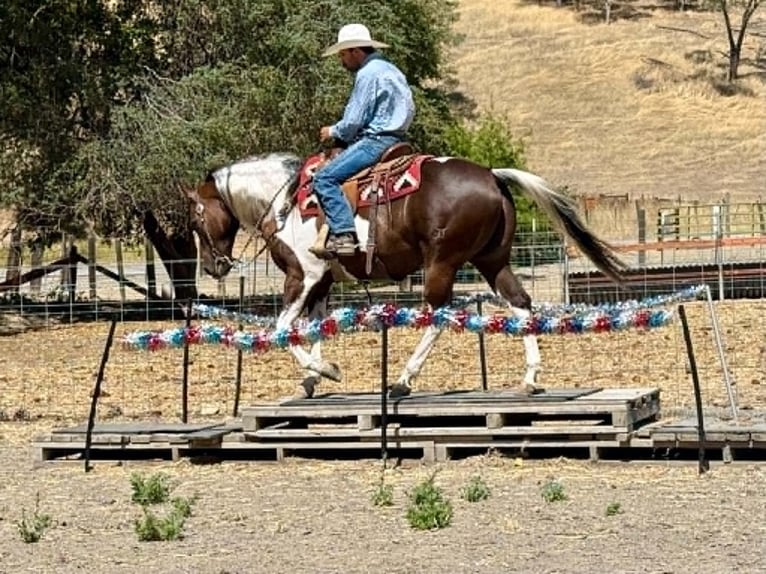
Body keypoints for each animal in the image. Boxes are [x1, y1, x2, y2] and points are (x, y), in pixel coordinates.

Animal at [184, 149, 627, 399]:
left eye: (196, 216)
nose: (211, 266)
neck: (286, 201)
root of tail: (491, 174)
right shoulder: (322, 283)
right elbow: (314, 328)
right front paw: (313, 378)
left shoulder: (302, 276)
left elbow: (281, 329)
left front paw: (323, 371)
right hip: (493, 260)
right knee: (520, 303)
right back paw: (531, 377)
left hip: (442, 263)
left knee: (437, 315)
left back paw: (402, 378)